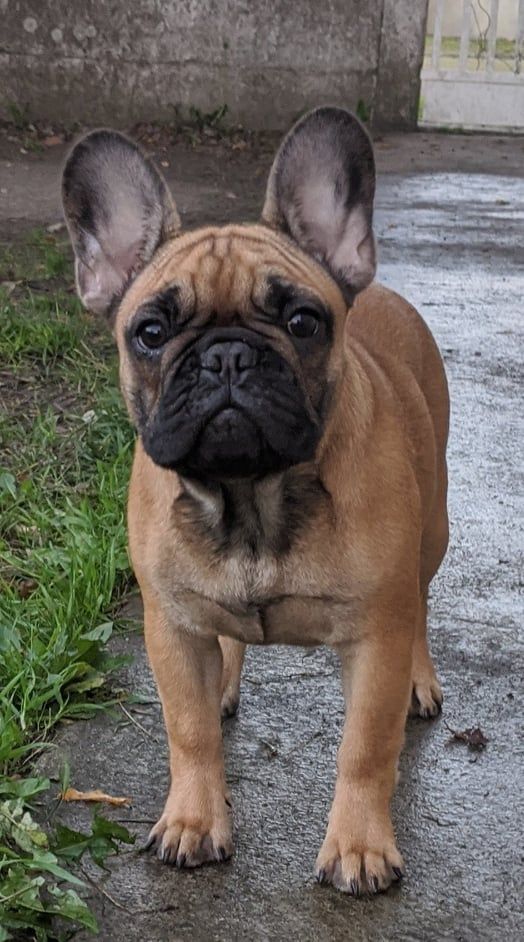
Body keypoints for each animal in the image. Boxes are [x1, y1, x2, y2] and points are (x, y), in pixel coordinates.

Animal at [62, 107, 449, 895]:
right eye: (150, 332)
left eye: (302, 322)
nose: (227, 355)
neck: (249, 498)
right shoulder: (171, 627)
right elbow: (188, 732)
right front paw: (192, 819)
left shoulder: (377, 635)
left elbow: (366, 748)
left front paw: (359, 846)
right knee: (230, 643)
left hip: (433, 533)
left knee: (422, 605)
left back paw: (421, 682)